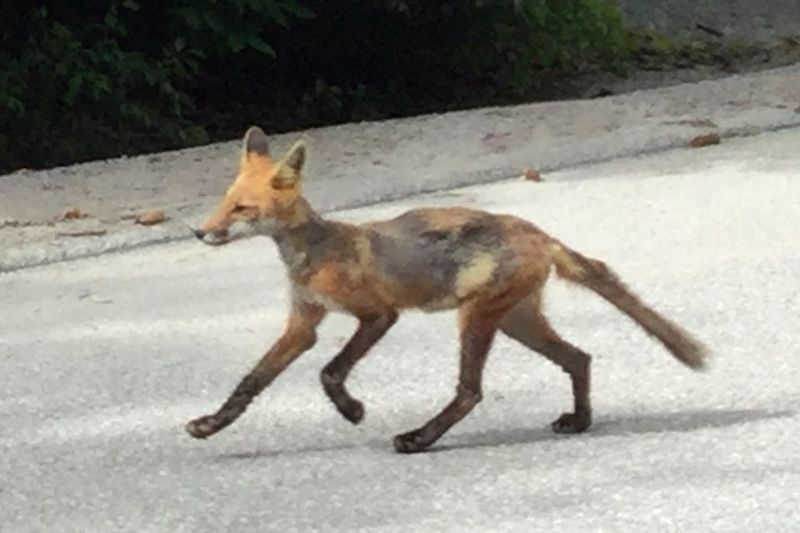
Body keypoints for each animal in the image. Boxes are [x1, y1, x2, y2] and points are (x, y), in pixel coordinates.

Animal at [186, 126, 708, 453]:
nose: (199, 232)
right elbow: (251, 382)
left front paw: (351, 410)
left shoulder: (378, 315)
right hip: (516, 322)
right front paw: (211, 425)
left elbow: (330, 372)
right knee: (579, 358)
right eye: (224, 203)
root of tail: (538, 233)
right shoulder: (303, 323)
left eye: (242, 209)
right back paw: (579, 421)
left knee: (470, 392)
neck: (313, 254)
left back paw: (420, 439)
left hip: (475, 318)